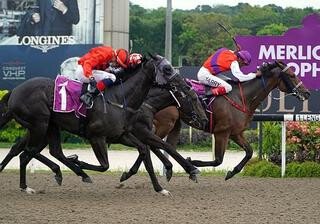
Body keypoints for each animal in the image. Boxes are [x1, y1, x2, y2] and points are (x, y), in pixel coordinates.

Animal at [0, 54, 208, 194]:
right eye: (167, 69)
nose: (205, 119)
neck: (121, 100)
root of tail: (15, 91)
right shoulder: (99, 136)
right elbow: (106, 165)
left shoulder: (123, 135)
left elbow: (147, 151)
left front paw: (161, 186)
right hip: (39, 124)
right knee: (29, 152)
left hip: (48, 126)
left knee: (38, 151)